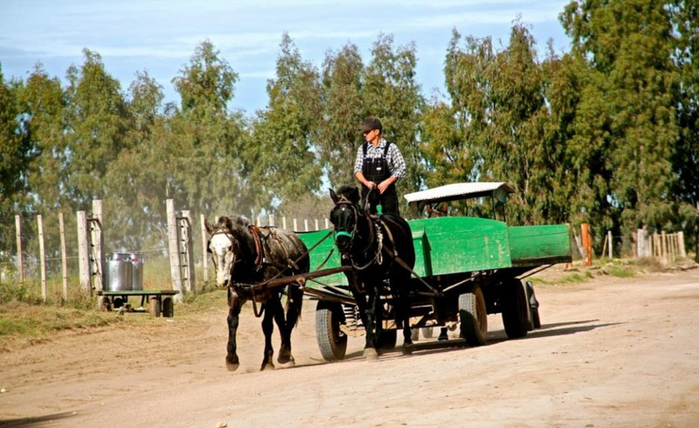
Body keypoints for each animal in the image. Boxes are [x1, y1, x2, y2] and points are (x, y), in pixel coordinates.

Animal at [205, 216, 308, 370]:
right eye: (211, 249)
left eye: (230, 247)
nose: (222, 281)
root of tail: (296, 239)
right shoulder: (236, 295)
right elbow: (232, 321)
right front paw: (232, 358)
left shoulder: (269, 296)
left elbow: (267, 326)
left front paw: (268, 361)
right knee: (280, 317)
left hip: (295, 288)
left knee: (289, 317)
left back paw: (285, 352)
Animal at [330, 186, 416, 360]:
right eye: (333, 217)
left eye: (351, 216)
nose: (342, 243)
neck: (359, 250)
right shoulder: (355, 284)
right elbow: (365, 312)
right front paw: (372, 344)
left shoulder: (374, 281)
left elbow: (370, 311)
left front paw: (370, 347)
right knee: (380, 309)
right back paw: (380, 343)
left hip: (403, 275)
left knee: (404, 304)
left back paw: (407, 341)